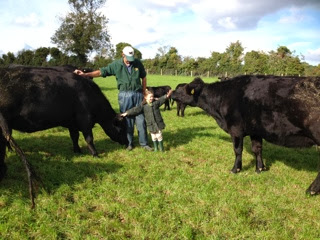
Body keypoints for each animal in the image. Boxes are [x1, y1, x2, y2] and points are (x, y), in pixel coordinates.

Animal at [0, 65, 127, 206]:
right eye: (122, 128)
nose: (127, 143)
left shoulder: (73, 123)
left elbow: (74, 137)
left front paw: (77, 150)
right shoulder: (85, 120)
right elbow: (89, 139)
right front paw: (95, 154)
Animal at [172, 75, 320, 195]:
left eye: (182, 89)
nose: (171, 93)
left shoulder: (236, 129)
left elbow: (238, 150)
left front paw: (236, 169)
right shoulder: (255, 130)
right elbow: (257, 149)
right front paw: (260, 168)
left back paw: (311, 190)